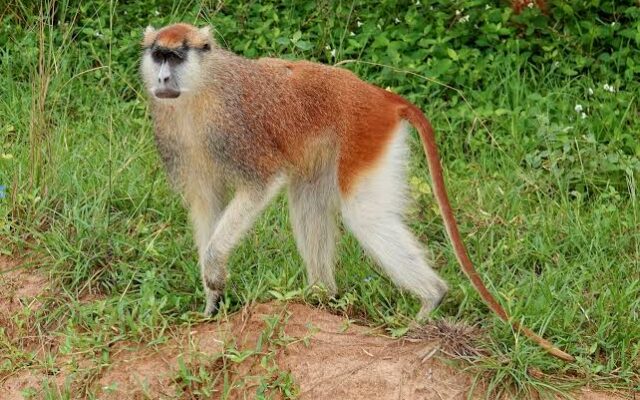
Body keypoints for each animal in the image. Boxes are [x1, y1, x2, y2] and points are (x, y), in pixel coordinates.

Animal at [140, 23, 573, 361]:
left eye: (175, 57)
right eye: (158, 56)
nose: (162, 79)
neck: (202, 88)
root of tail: (379, 95)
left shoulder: (236, 131)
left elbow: (261, 184)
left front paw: (213, 268)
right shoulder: (181, 143)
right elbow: (205, 203)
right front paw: (211, 298)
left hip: (365, 134)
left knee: (363, 214)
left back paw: (430, 300)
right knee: (308, 202)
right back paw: (319, 298)